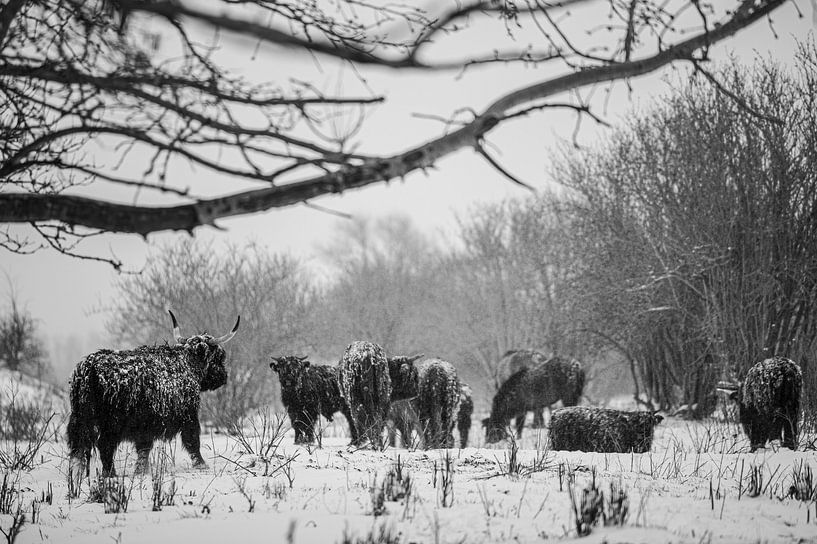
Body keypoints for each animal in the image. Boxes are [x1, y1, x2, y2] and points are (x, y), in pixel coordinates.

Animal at [67, 310, 239, 492]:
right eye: (219, 357)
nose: (223, 377)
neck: (188, 365)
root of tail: (88, 368)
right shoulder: (187, 415)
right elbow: (192, 440)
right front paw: (201, 464)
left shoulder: (146, 426)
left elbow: (144, 448)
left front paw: (142, 470)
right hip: (112, 423)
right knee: (105, 445)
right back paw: (111, 473)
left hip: (81, 419)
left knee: (81, 446)